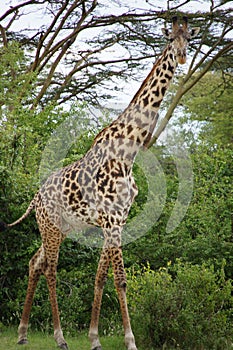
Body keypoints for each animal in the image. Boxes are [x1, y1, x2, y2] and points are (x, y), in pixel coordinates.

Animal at [0, 17, 200, 350]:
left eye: (191, 39)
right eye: (170, 38)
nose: (183, 57)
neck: (129, 151)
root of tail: (35, 198)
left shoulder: (118, 219)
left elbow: (100, 276)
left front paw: (94, 338)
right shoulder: (111, 219)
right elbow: (120, 279)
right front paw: (130, 341)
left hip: (62, 228)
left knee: (34, 262)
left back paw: (23, 333)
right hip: (51, 226)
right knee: (50, 268)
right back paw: (59, 337)